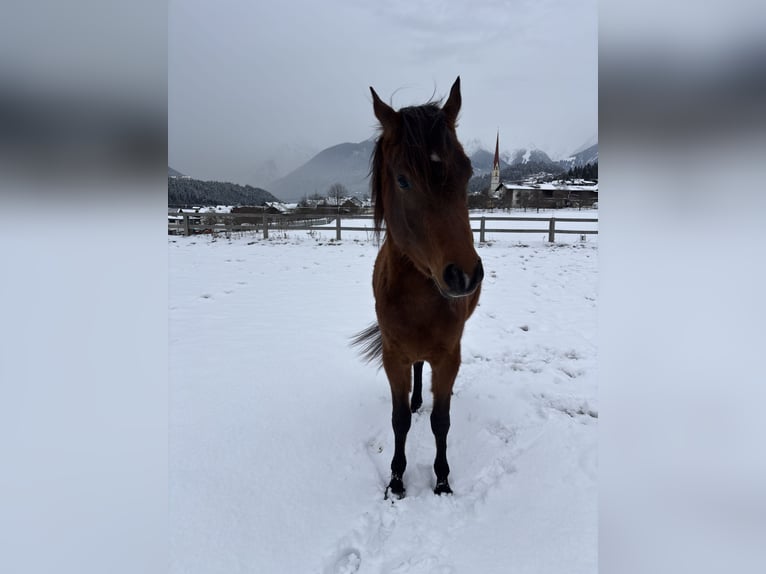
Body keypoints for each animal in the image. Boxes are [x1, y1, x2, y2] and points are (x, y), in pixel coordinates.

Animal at [352, 77, 483, 499]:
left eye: (467, 171)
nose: (464, 276)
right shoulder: (393, 355)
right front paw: (396, 480)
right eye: (403, 179)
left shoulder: (449, 356)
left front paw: (441, 480)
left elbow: (441, 421)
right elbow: (398, 422)